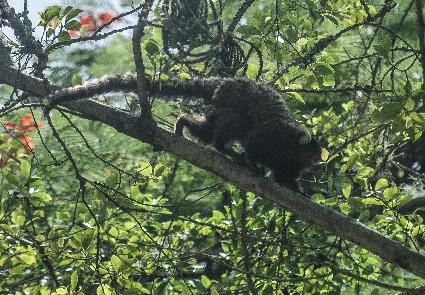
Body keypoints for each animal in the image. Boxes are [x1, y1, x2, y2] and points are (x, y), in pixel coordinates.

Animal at [173, 78, 322, 191]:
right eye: (312, 153)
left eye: (316, 154)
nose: (317, 159)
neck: (293, 150)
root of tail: (229, 82)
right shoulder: (276, 133)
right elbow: (254, 140)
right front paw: (251, 163)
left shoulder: (292, 165)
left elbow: (282, 176)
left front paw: (297, 189)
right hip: (231, 99)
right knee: (236, 121)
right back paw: (223, 147)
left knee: (208, 132)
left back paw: (183, 121)